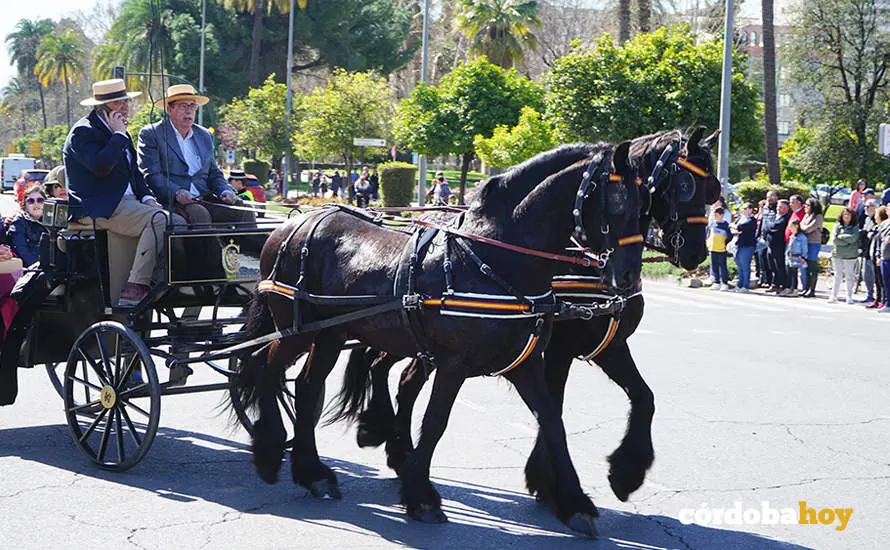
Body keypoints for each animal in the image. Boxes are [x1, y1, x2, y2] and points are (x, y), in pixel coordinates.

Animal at [230, 141, 643, 536]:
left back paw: (312, 473)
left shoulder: (524, 364)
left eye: (644, 200)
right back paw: (269, 451)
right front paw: (421, 496)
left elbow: (553, 422)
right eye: (617, 204)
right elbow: (435, 422)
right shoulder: (453, 364)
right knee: (266, 368)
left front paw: (574, 503)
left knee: (307, 386)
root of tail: (294, 223)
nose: (626, 276)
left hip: (330, 334)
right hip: (297, 330)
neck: (492, 256)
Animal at [339, 127, 721, 511]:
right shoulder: (558, 350)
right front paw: (549, 482)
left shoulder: (607, 346)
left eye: (714, 189)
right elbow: (556, 408)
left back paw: (396, 448)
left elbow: (642, 397)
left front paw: (625, 473)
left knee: (401, 378)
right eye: (686, 184)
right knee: (383, 368)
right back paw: (385, 438)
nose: (696, 253)